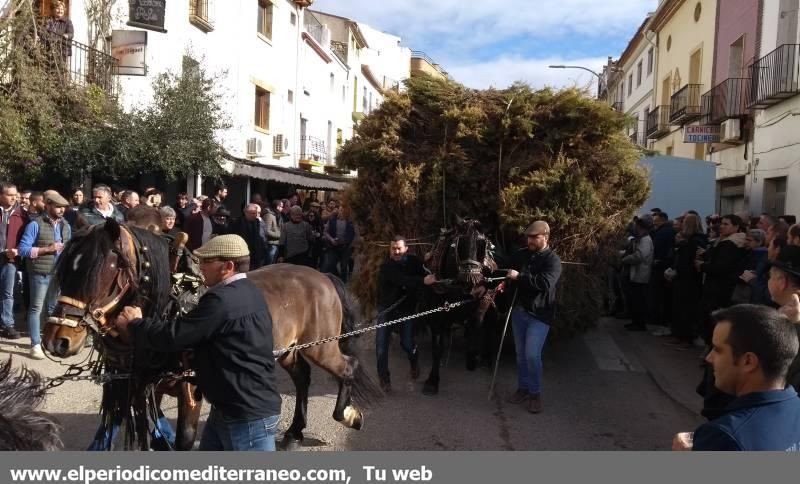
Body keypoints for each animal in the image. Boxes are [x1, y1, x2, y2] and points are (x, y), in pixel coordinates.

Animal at [42, 219, 380, 450]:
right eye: (68, 269)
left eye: (106, 270)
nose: (56, 339)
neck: (172, 304)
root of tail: (321, 275)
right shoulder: (142, 387)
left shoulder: (190, 389)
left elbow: (183, 440)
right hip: (289, 349)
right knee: (302, 377)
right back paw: (295, 431)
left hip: (321, 347)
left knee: (347, 367)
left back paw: (348, 414)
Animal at [418, 217, 500, 396]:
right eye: (459, 244)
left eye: (483, 244)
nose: (471, 281)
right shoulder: (437, 316)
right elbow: (437, 348)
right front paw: (432, 381)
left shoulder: (482, 300)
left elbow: (476, 325)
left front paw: (472, 357)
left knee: (489, 326)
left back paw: (486, 358)